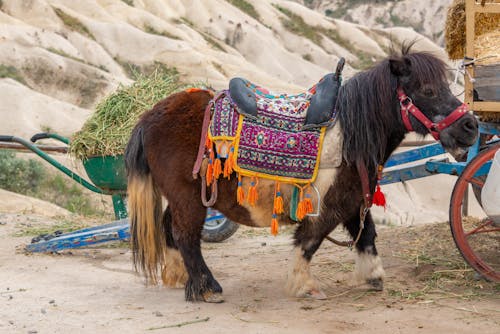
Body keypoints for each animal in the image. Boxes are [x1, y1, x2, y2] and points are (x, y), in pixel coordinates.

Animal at [124, 44, 476, 302]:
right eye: (428, 90)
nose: (470, 127)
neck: (352, 134)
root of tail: (149, 116)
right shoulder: (329, 206)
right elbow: (309, 241)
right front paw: (303, 284)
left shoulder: (353, 200)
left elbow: (367, 235)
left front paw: (373, 275)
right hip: (189, 199)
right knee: (186, 236)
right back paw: (207, 286)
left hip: (183, 198)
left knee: (169, 229)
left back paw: (178, 275)